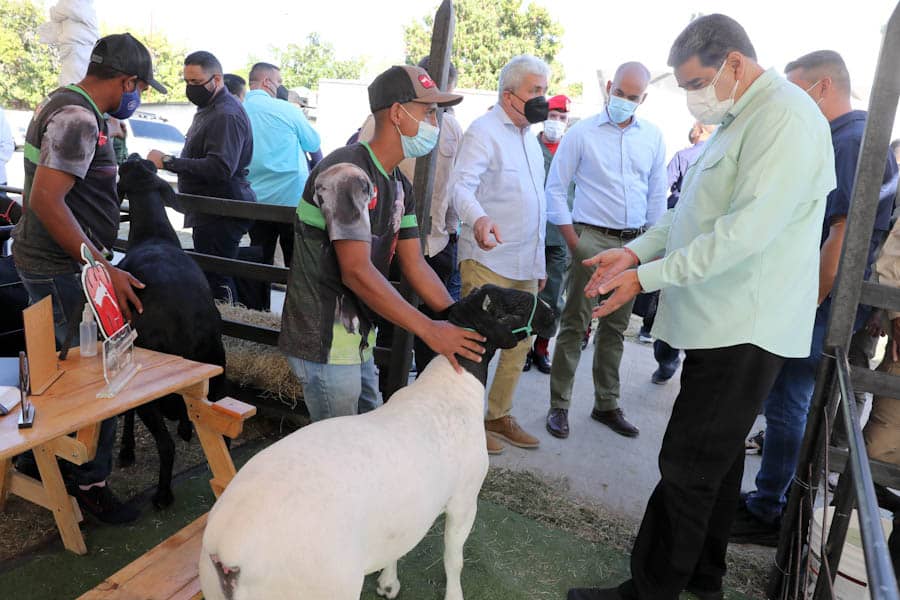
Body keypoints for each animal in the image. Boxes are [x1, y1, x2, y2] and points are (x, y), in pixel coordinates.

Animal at [114, 155, 227, 506]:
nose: (133, 156)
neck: (154, 234)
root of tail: (185, 323)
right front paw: (188, 427)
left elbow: (127, 413)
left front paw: (126, 450)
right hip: (217, 366)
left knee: (165, 444)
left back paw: (163, 495)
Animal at [199, 284, 556, 600]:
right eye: (515, 304)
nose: (552, 314)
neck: (454, 382)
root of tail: (228, 553)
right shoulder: (465, 500)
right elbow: (454, 559)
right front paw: (454, 595)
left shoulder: (404, 512)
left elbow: (397, 543)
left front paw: (387, 583)